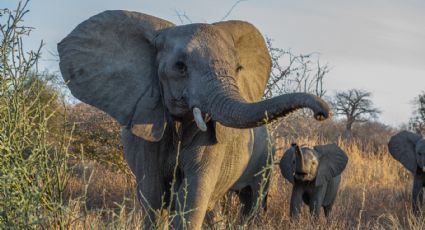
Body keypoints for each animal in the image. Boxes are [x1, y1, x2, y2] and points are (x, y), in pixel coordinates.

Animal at [57, 9, 328, 229]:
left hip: (266, 158)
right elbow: (153, 194)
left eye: (238, 69)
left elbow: (192, 196)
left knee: (251, 201)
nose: (321, 114)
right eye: (180, 67)